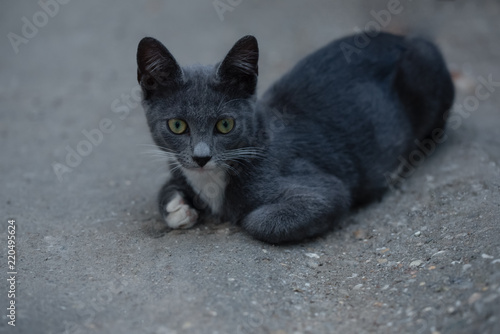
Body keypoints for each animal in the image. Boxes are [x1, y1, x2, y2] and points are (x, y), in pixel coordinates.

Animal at [136, 32, 454, 243]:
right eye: (177, 125)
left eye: (225, 124)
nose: (201, 157)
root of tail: (408, 38)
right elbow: (167, 190)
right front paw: (179, 209)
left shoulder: (323, 188)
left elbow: (259, 220)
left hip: (426, 68)